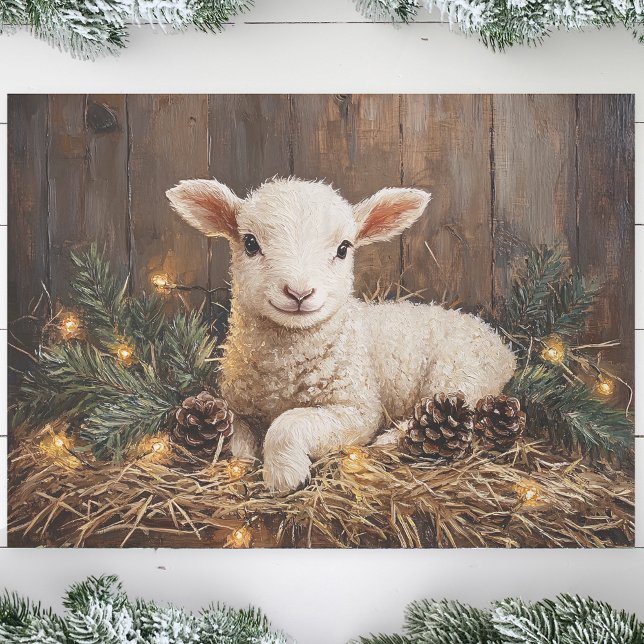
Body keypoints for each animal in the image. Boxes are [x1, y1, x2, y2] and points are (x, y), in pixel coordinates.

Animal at [166, 177, 516, 493]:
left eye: (343, 248)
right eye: (250, 243)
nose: (299, 292)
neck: (283, 371)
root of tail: (503, 347)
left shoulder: (357, 410)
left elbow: (289, 423)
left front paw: (284, 475)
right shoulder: (238, 407)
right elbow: (236, 438)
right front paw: (240, 458)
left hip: (459, 374)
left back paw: (391, 440)